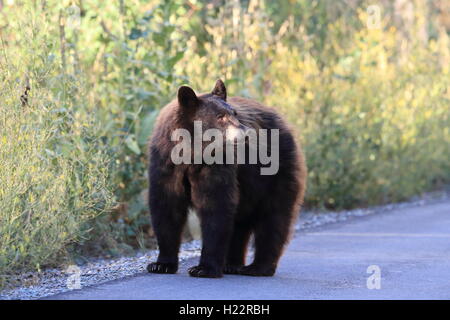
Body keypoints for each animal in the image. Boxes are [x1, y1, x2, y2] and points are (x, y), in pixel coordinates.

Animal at [147, 80, 306, 278]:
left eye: (235, 114)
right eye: (220, 117)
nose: (247, 133)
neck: (192, 153)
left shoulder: (216, 164)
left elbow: (215, 205)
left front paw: (203, 268)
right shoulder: (165, 164)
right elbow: (166, 207)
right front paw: (161, 264)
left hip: (275, 174)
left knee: (273, 218)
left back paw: (258, 267)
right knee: (240, 223)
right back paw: (232, 264)